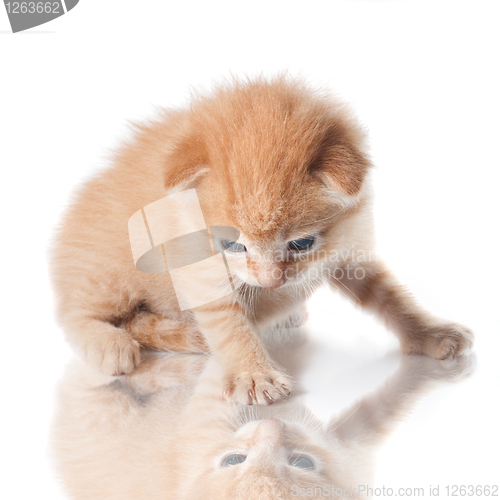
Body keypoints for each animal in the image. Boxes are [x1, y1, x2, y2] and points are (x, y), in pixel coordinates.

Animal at [50, 78, 472, 406]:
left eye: (301, 243)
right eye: (231, 246)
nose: (271, 283)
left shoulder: (347, 248)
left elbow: (390, 295)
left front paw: (430, 333)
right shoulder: (195, 267)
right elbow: (227, 319)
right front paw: (254, 375)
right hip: (105, 275)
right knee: (75, 313)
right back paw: (112, 344)